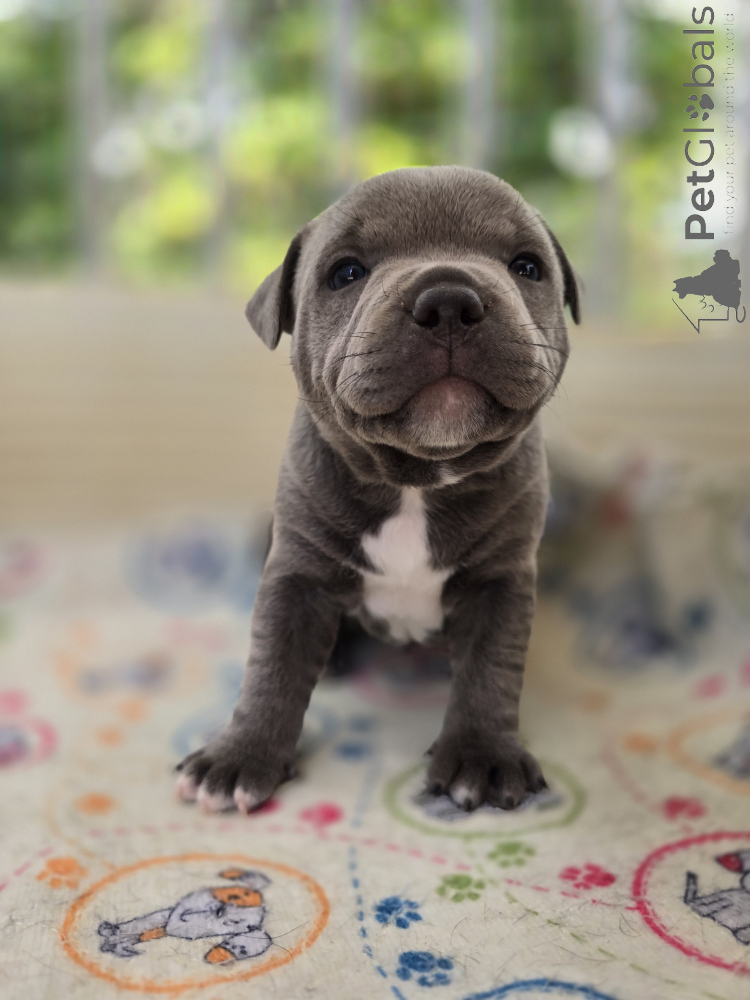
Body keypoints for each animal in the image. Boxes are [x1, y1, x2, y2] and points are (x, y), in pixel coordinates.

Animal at [176, 166, 579, 813]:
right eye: (346, 272)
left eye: (526, 266)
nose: (448, 299)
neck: (416, 477)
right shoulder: (297, 577)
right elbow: (271, 666)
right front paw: (241, 756)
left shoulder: (500, 583)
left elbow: (491, 671)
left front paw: (482, 756)